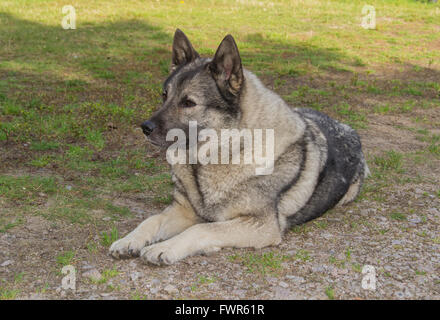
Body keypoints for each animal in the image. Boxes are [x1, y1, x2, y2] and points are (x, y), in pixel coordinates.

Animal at [109, 28, 368, 264]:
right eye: (164, 95)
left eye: (188, 103)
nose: (145, 127)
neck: (224, 153)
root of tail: (347, 128)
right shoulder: (183, 210)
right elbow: (151, 220)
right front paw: (128, 240)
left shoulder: (261, 225)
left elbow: (202, 228)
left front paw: (165, 247)